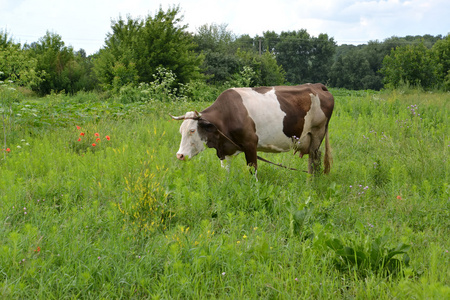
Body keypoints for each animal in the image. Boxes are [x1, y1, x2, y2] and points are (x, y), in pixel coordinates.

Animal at [171, 82, 334, 176]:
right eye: (180, 131)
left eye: (192, 130)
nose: (179, 155)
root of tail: (317, 85)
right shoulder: (225, 149)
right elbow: (226, 172)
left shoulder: (250, 145)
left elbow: (252, 170)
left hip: (317, 132)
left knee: (315, 160)